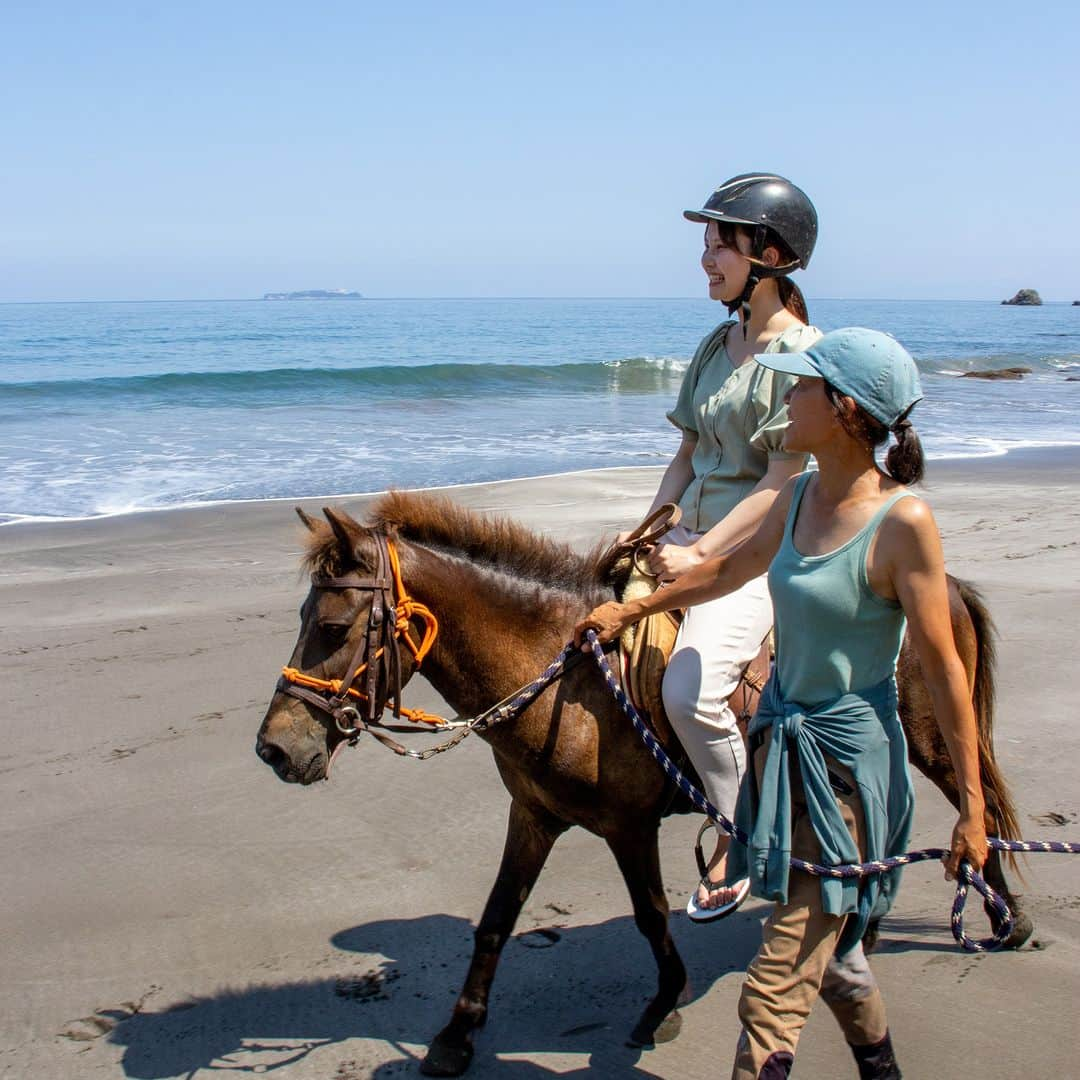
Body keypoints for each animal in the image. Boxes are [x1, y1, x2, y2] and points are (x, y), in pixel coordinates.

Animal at [254, 494, 1028, 1075]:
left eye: (333, 626)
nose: (274, 749)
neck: (564, 674)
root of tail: (944, 585)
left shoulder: (628, 826)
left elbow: (651, 914)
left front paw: (663, 1006)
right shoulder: (532, 815)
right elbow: (496, 919)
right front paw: (456, 1035)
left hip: (934, 741)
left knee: (977, 807)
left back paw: (1007, 920)